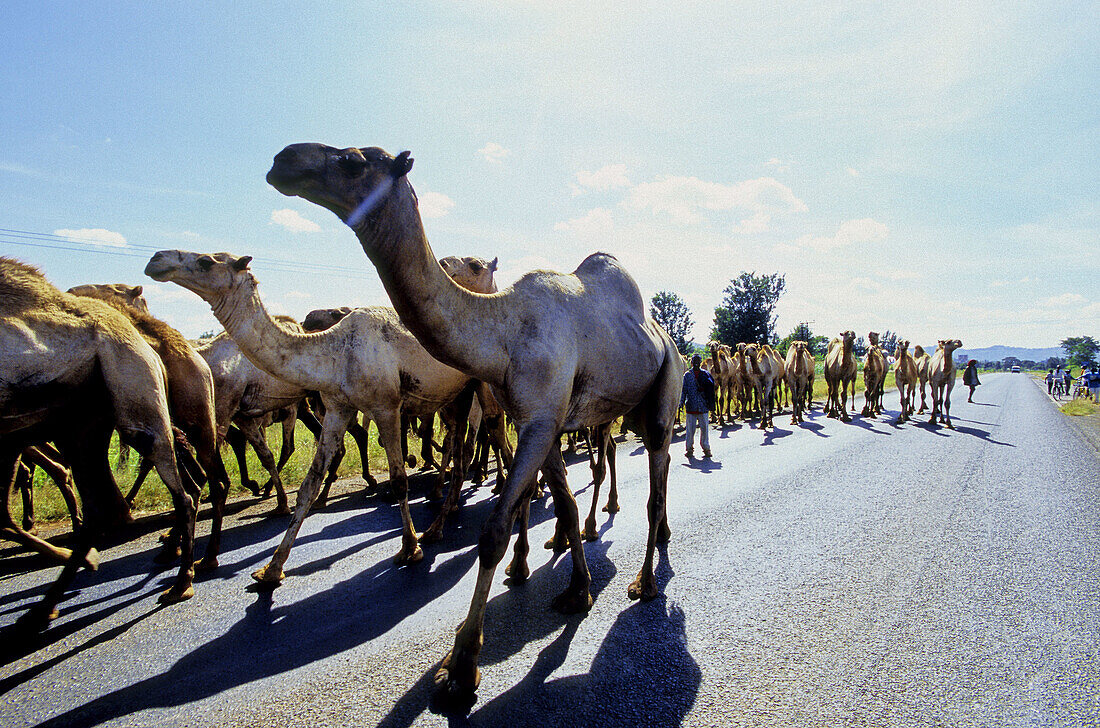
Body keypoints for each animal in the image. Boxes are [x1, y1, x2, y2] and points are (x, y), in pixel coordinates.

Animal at [1, 259, 198, 629]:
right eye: (141, 297)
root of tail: (145, 345)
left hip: (131, 403)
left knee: (179, 492)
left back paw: (180, 584)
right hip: (81, 427)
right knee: (103, 503)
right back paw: (45, 606)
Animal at [145, 248, 473, 580]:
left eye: (206, 261)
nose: (156, 259)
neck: (337, 352)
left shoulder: (386, 406)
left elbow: (398, 480)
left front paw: (409, 548)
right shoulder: (338, 407)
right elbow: (309, 484)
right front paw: (272, 568)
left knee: (462, 448)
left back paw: (439, 520)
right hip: (453, 395)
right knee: (457, 446)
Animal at [264, 144, 677, 708]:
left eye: (352, 160)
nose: (282, 160)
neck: (503, 332)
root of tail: (666, 334)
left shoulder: (540, 420)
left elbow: (494, 531)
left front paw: (460, 668)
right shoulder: (539, 421)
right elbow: (563, 507)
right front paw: (577, 591)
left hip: (667, 381)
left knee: (655, 472)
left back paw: (646, 581)